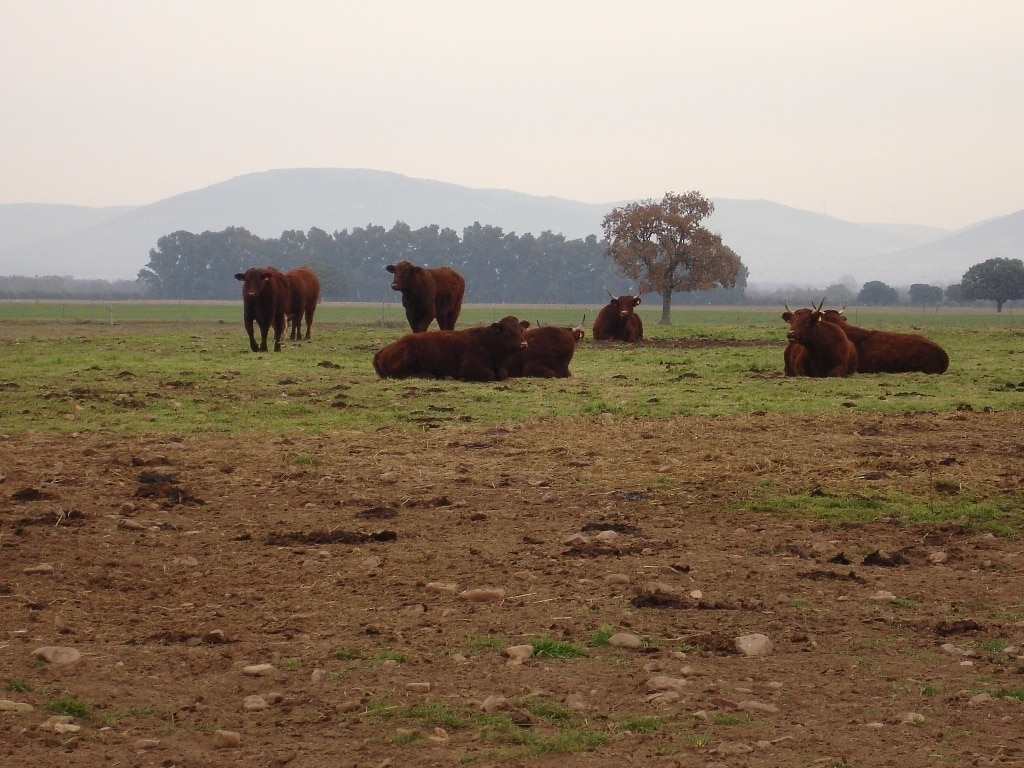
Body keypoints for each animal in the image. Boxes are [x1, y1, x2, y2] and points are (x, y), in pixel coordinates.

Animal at [370, 315, 528, 382]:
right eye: (509, 331)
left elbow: (503, 374)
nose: (524, 344)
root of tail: (381, 352)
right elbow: (489, 375)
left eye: (521, 330)